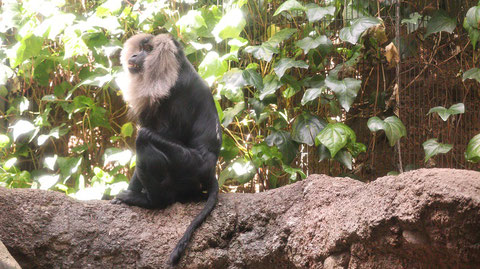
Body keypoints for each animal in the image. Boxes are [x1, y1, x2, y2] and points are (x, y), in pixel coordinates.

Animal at [113, 33, 223, 264]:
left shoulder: (176, 91)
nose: (134, 55)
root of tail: (210, 170)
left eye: (148, 49)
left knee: (144, 138)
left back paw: (153, 202)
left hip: (189, 166)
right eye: (139, 48)